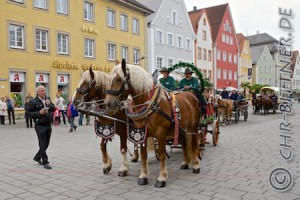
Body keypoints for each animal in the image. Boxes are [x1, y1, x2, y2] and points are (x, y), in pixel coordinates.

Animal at [104, 60, 200, 188]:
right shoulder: (141, 132)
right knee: (185, 143)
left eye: (119, 79)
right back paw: (185, 163)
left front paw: (162, 178)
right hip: (180, 128)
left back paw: (196, 165)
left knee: (193, 144)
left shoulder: (161, 133)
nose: (108, 103)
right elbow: (143, 154)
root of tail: (190, 95)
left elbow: (162, 154)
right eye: (109, 79)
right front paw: (143, 176)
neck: (151, 104)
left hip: (193, 127)